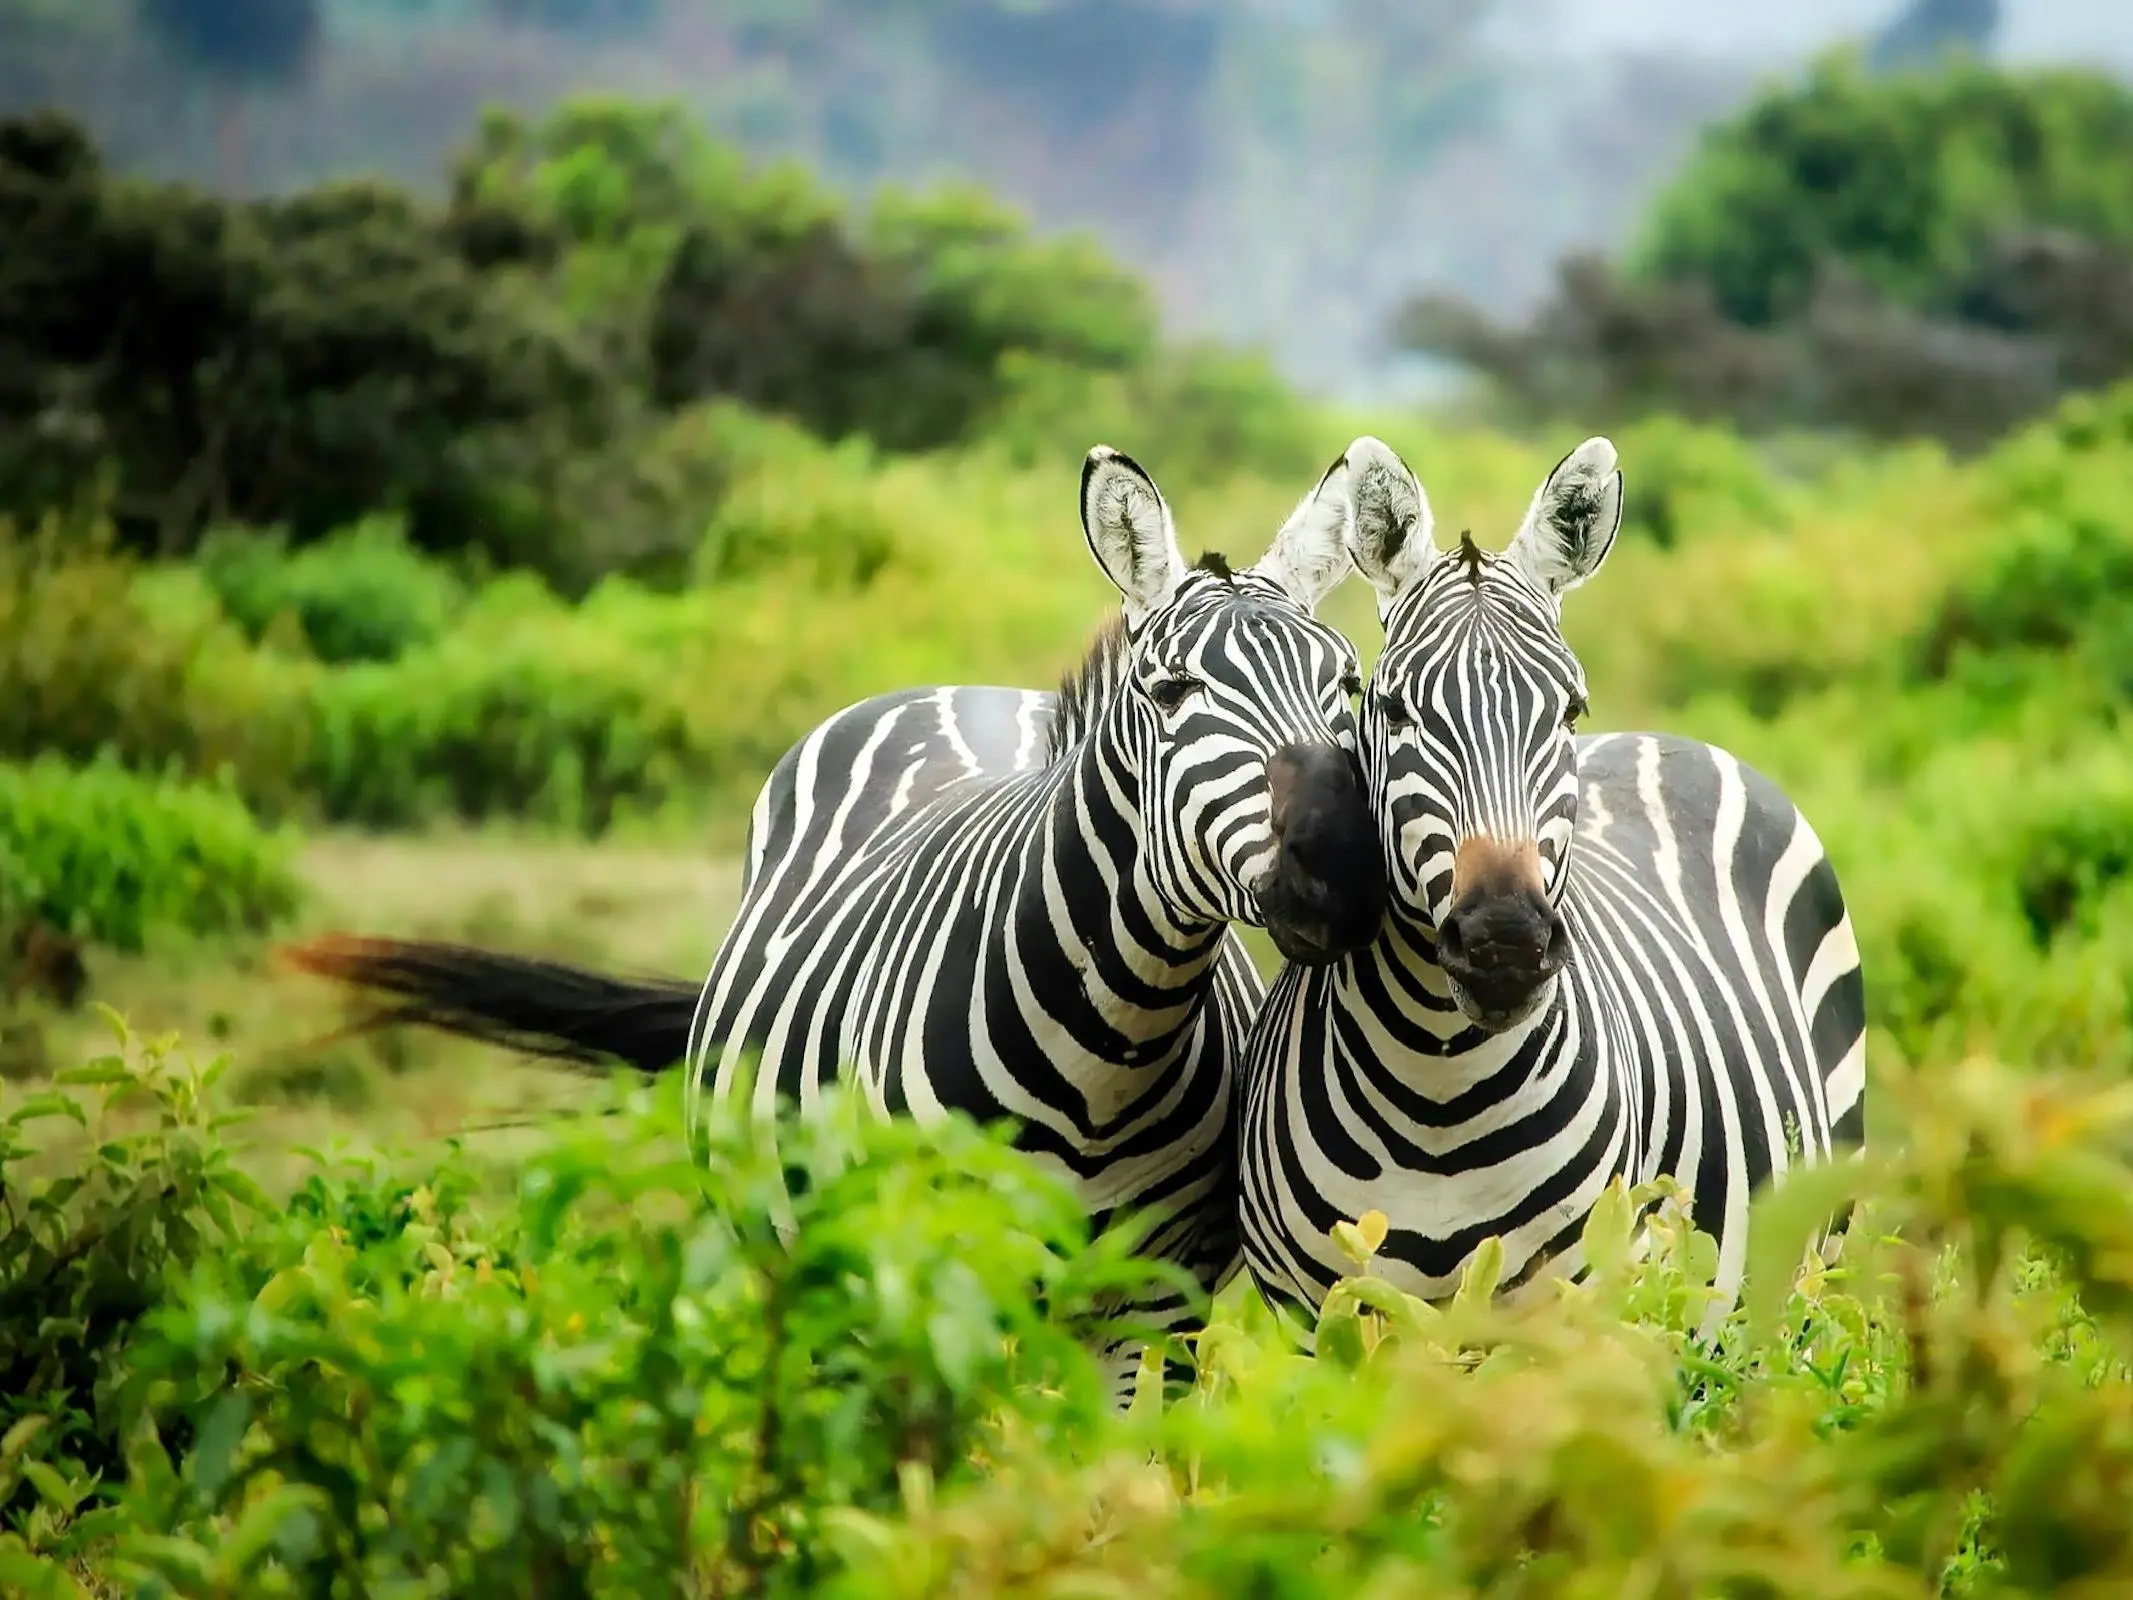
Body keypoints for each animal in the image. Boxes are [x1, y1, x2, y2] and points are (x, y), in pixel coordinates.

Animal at [287, 445, 1382, 1399]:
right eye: (1173, 690)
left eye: (1348, 684)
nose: (1341, 865)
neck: (1107, 1053)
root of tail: (964, 689)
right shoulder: (923, 1277)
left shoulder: (1154, 1305)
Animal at [1237, 433, 1868, 1348]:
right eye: (1392, 710)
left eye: (1568, 712)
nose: (1504, 942)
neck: (1437, 1094)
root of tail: (1666, 737)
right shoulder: (1318, 1322)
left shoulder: (1573, 1313)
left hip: (1811, 1266)